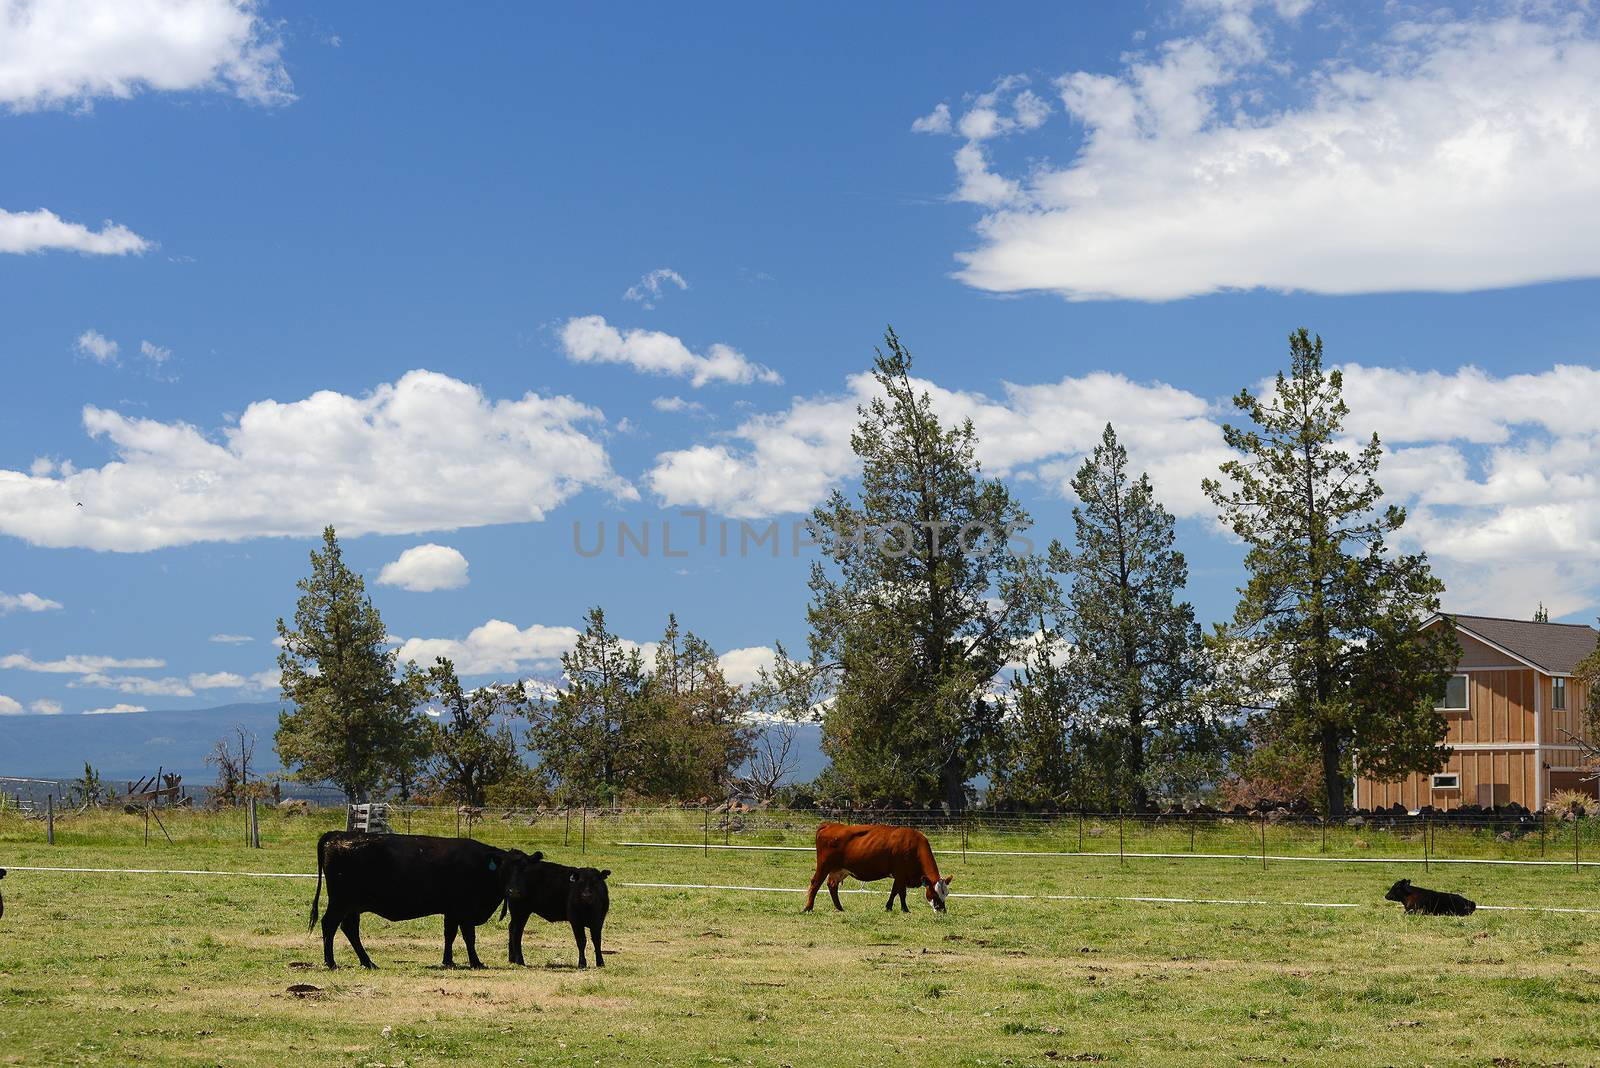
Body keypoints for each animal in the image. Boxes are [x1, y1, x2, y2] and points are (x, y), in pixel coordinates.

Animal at [308, 831, 540, 972]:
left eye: (525, 869)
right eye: (505, 869)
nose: (514, 891)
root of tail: (338, 834)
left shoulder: (451, 910)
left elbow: (449, 935)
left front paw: (448, 961)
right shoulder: (465, 910)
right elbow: (469, 937)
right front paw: (476, 962)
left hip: (352, 906)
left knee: (349, 929)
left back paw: (368, 962)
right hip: (341, 902)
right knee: (329, 925)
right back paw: (331, 962)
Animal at [800, 824, 947, 914]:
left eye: (946, 894)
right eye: (934, 894)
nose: (942, 911)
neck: (914, 845)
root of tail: (830, 825)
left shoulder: (899, 876)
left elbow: (894, 891)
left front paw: (888, 907)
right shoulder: (900, 874)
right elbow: (901, 893)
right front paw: (905, 909)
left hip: (838, 870)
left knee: (832, 885)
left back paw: (839, 908)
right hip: (824, 866)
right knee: (815, 884)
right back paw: (808, 908)